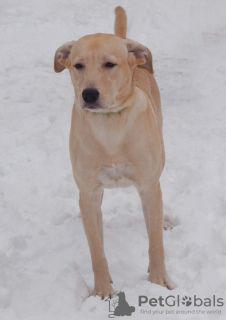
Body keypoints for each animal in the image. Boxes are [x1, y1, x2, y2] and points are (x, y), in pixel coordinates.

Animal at [53, 6, 174, 298]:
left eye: (110, 64)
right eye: (78, 65)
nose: (89, 94)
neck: (110, 127)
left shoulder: (148, 186)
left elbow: (156, 243)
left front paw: (157, 282)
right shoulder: (89, 193)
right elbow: (97, 250)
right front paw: (102, 291)